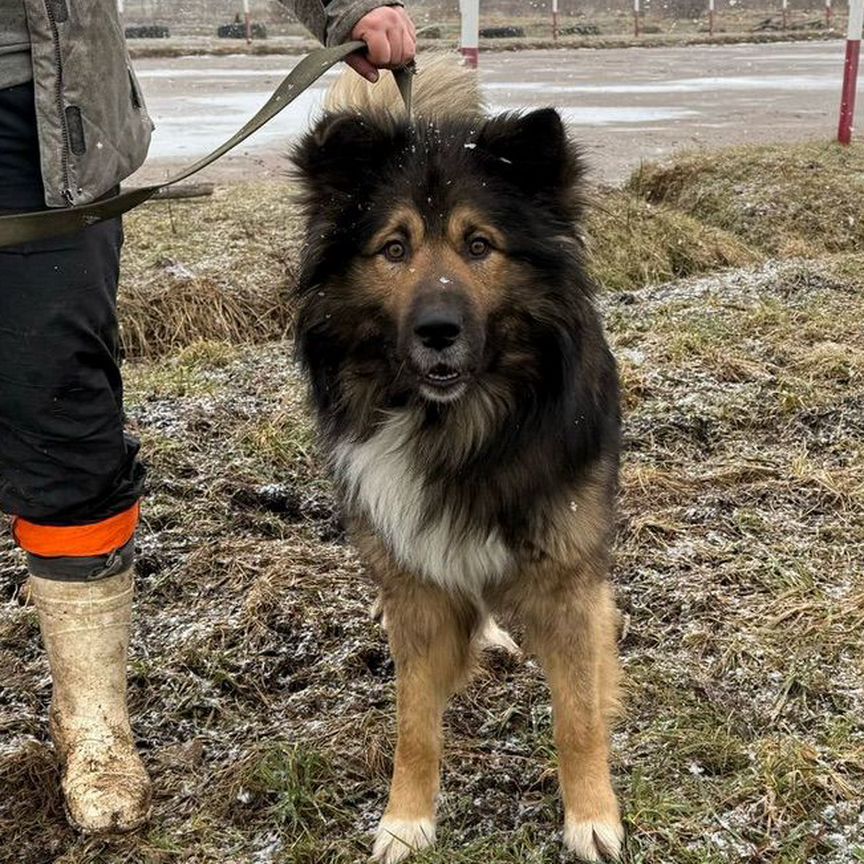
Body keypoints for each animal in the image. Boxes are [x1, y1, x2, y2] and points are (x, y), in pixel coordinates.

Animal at [290, 55, 620, 864]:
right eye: (394, 248)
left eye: (479, 246)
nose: (437, 330)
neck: (461, 426)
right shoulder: (414, 583)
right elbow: (415, 723)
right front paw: (405, 821)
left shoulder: (569, 575)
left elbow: (579, 715)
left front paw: (592, 818)